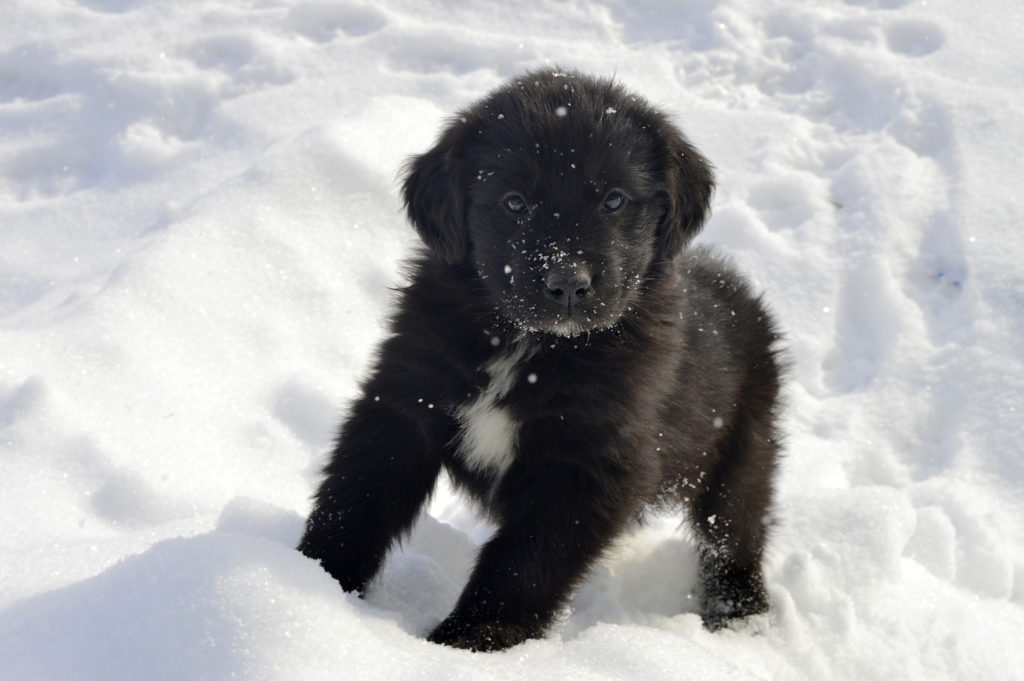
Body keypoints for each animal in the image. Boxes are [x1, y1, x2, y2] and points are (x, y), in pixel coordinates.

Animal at [299, 70, 782, 655]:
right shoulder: (403, 398)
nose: (568, 282)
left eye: (614, 200)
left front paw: (473, 640)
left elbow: (526, 561)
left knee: (736, 530)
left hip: (744, 445)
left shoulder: (590, 463)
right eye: (514, 202)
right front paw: (310, 575)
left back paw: (740, 616)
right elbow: (357, 497)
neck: (526, 345)